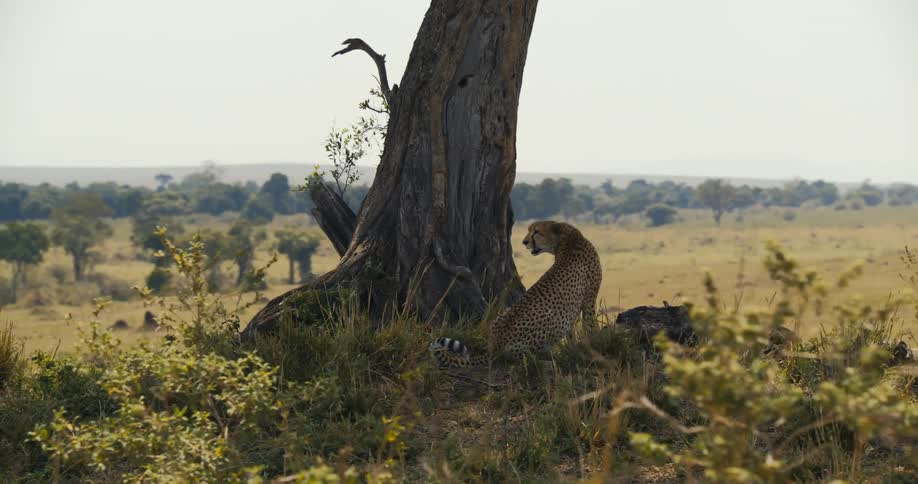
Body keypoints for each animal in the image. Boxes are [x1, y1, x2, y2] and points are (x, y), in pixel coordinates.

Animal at [429, 220, 602, 368]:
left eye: (536, 232)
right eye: (530, 230)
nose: (525, 242)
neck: (567, 239)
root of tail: (496, 343)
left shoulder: (575, 306)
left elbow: (574, 332)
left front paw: (575, 349)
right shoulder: (588, 299)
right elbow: (590, 325)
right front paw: (598, 343)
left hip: (503, 314)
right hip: (550, 320)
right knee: (520, 359)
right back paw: (546, 362)